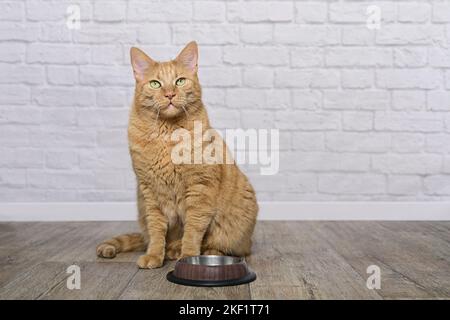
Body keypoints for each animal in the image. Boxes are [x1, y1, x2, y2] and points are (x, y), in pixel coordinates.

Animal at [96, 41, 258, 268]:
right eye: (155, 84)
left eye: (179, 81)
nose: (170, 94)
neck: (167, 135)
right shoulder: (150, 192)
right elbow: (156, 231)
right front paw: (155, 255)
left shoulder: (200, 188)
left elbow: (193, 230)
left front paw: (188, 256)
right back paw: (171, 250)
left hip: (235, 227)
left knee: (226, 246)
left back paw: (201, 252)